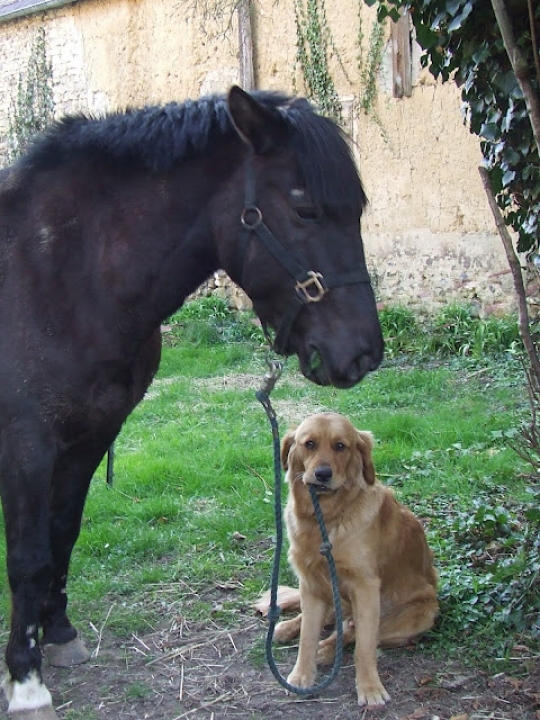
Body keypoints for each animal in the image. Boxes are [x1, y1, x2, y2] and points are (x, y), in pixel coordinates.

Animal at [0, 85, 383, 719]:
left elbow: (63, 535)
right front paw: (26, 682)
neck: (60, 274)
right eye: (305, 209)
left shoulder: (87, 438)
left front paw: (59, 634)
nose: (364, 353)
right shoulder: (27, 447)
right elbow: (29, 558)